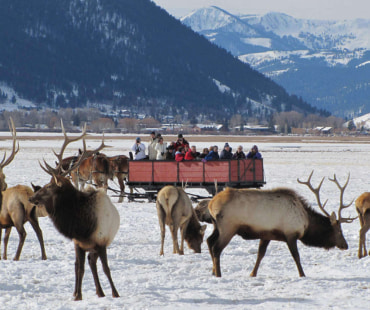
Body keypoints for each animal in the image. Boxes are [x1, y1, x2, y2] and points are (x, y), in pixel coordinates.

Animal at [30, 121, 120, 300]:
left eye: (49, 186)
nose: (31, 197)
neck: (83, 226)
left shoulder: (101, 242)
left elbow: (106, 268)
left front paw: (115, 293)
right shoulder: (78, 243)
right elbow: (79, 268)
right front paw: (77, 295)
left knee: (93, 262)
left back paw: (101, 291)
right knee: (87, 264)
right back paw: (98, 292)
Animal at [208, 171, 356, 278]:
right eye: (339, 231)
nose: (345, 245)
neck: (306, 223)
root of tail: (211, 204)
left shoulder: (266, 234)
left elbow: (260, 254)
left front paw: (253, 273)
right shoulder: (290, 234)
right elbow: (296, 256)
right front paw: (302, 274)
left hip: (217, 226)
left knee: (209, 241)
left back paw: (213, 271)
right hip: (228, 227)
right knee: (216, 248)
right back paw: (219, 274)